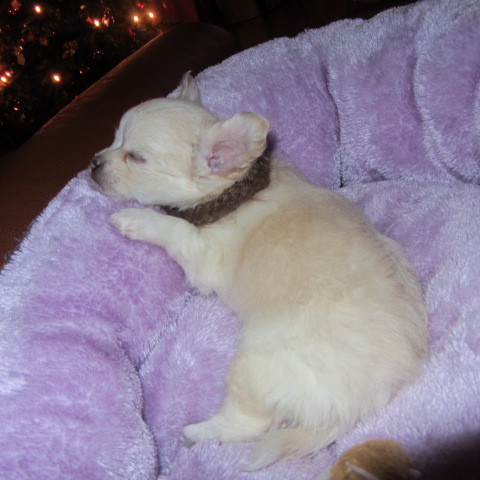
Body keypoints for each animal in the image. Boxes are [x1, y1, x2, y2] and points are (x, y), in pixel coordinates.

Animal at [90, 72, 428, 470]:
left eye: (136, 157)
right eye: (114, 140)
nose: (93, 162)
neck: (234, 192)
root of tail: (357, 406)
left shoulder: (203, 255)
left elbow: (173, 227)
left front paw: (135, 219)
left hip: (254, 364)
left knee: (248, 423)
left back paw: (195, 433)